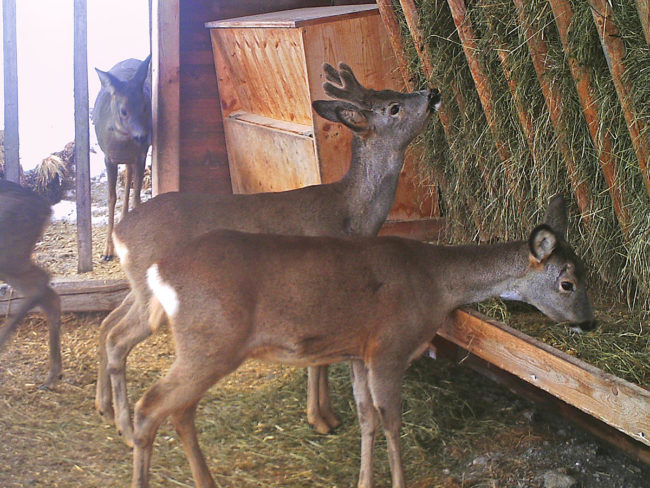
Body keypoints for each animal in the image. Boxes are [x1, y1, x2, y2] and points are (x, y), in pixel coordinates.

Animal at [95, 63, 440, 444]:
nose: (432, 93)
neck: (348, 214)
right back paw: (126, 427)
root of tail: (120, 233)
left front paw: (326, 414)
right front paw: (320, 418)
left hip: (139, 289)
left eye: (392, 92)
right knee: (118, 338)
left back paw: (104, 408)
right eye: (394, 107)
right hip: (152, 296)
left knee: (108, 324)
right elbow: (317, 360)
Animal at [133, 194, 596, 488]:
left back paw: (207, 481)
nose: (590, 322)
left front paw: (363, 480)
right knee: (150, 406)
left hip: (204, 347)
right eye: (568, 283)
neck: (436, 283)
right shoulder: (390, 346)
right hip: (211, 341)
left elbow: (366, 419)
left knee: (179, 410)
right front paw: (399, 481)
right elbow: (392, 421)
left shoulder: (358, 351)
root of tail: (160, 272)